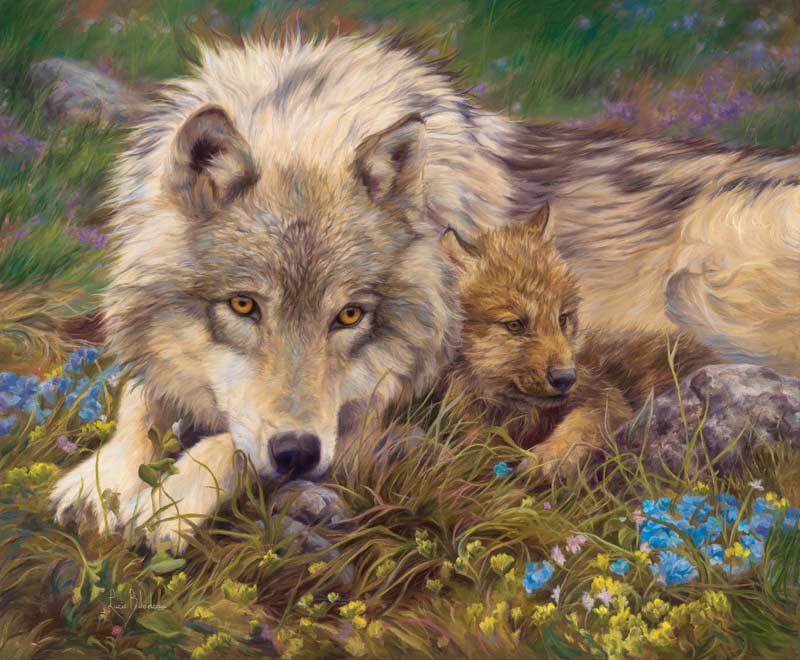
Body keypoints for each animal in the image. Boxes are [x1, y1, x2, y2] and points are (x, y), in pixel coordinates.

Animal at [440, 204, 720, 476]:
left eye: (562, 319)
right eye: (515, 325)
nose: (565, 378)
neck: (520, 414)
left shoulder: (605, 397)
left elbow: (579, 426)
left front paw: (549, 459)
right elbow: (473, 441)